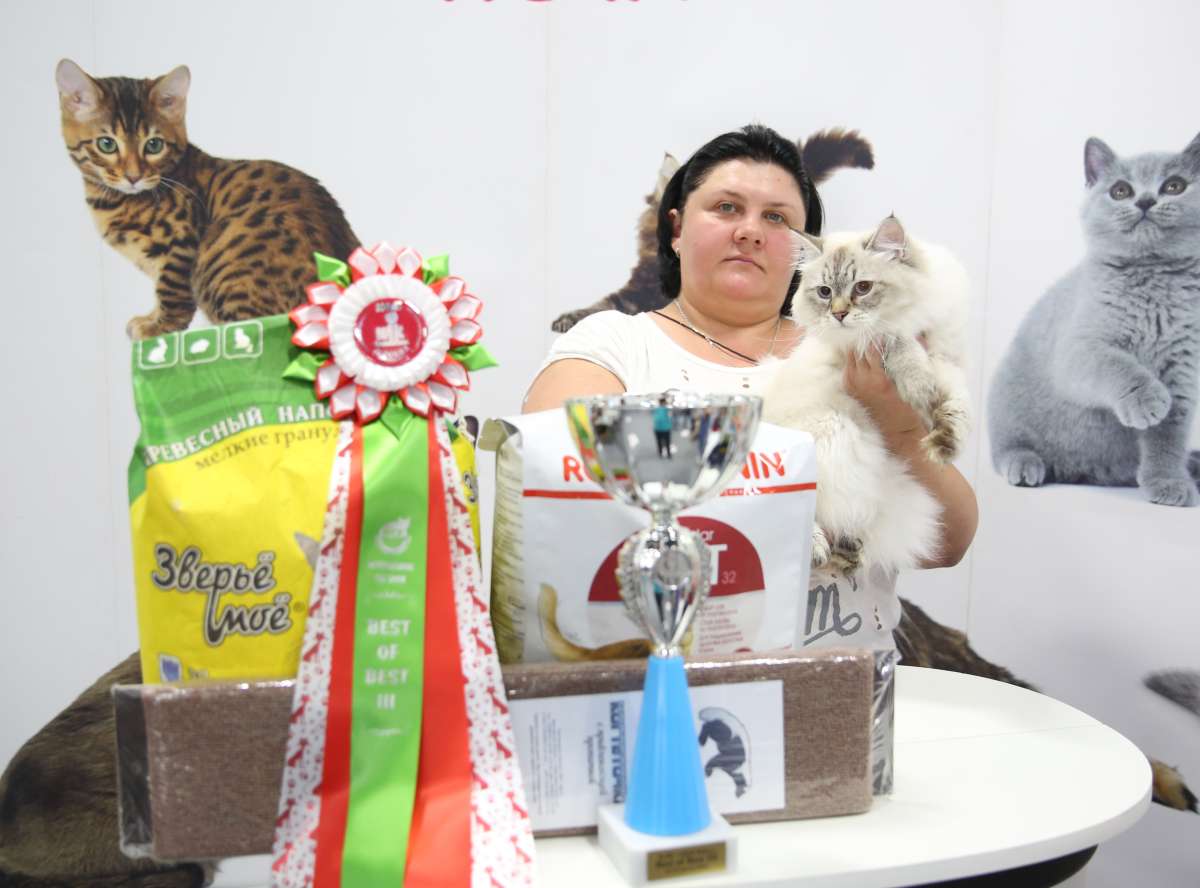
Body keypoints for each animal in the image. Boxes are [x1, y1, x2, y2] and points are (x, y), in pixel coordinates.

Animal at [56, 59, 359, 340]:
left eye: (154, 145)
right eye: (106, 144)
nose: (133, 176)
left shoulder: (180, 240)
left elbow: (170, 292)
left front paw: (159, 327)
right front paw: (151, 318)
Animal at [551, 128, 876, 332]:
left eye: (774, 216)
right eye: (727, 207)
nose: (750, 236)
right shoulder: (632, 291)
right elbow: (603, 304)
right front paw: (568, 318)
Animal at [763, 216, 971, 574]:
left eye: (862, 288)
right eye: (825, 292)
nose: (839, 314)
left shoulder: (946, 361)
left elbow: (955, 406)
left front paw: (944, 440)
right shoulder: (868, 343)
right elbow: (900, 345)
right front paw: (918, 385)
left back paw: (850, 550)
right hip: (830, 434)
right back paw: (818, 548)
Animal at [989, 133, 1200, 506]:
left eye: (1174, 186)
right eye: (1120, 191)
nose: (1145, 200)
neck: (1153, 280)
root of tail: (1081, 473)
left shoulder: (1183, 371)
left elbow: (1169, 438)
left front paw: (1168, 482)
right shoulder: (1080, 348)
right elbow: (1118, 366)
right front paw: (1148, 399)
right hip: (1005, 405)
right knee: (1007, 447)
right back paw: (1026, 465)